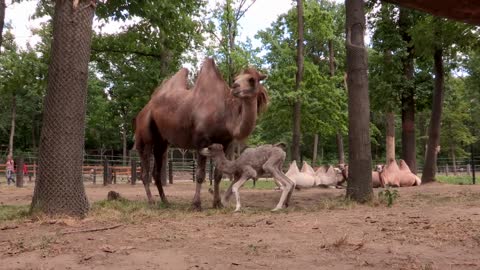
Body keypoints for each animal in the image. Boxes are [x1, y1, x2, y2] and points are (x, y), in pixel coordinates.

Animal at [133, 57, 268, 209]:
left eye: (252, 79)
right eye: (235, 78)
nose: (235, 87)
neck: (225, 114)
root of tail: (143, 110)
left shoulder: (225, 143)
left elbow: (218, 174)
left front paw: (217, 203)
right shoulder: (201, 141)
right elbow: (200, 174)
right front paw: (196, 204)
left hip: (161, 142)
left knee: (156, 171)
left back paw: (165, 201)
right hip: (144, 136)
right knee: (145, 170)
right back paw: (151, 201)